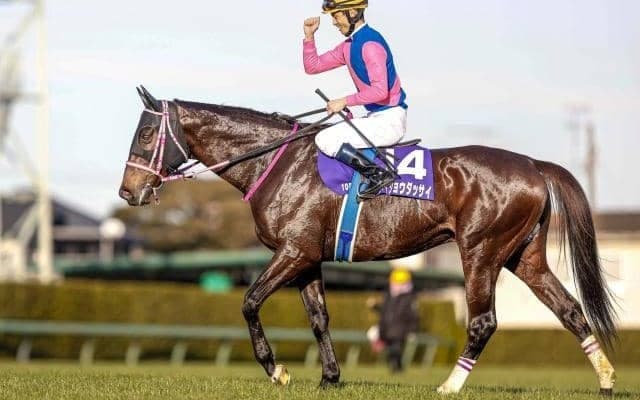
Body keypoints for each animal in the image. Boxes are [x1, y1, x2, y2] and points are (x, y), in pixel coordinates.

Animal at [118, 87, 617, 395]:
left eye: (145, 133)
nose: (128, 191)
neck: (278, 163)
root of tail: (532, 164)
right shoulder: (307, 259)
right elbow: (319, 318)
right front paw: (329, 377)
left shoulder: (292, 252)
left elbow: (249, 302)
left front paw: (277, 370)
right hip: (523, 256)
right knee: (570, 311)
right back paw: (607, 380)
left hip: (481, 251)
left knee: (483, 322)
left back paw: (449, 385)